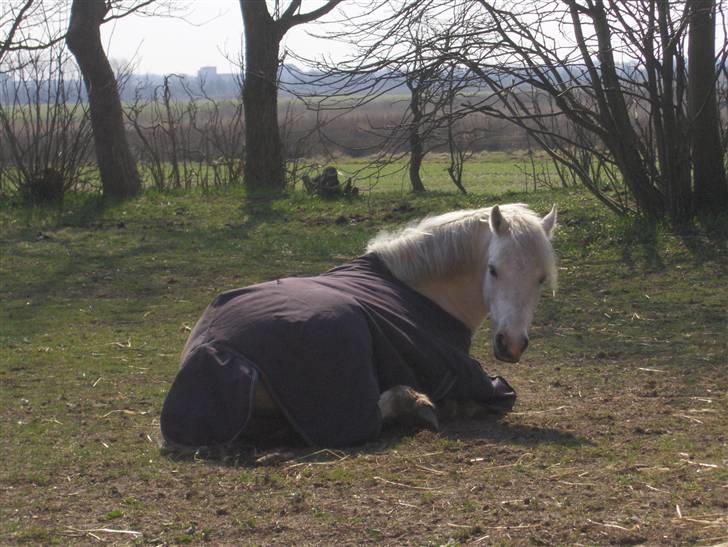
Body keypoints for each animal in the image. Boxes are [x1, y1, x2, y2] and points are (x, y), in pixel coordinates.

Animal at [160, 203, 557, 450]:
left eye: (540, 278)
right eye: (493, 269)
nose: (511, 344)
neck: (419, 288)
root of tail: (215, 349)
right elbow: (501, 395)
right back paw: (416, 402)